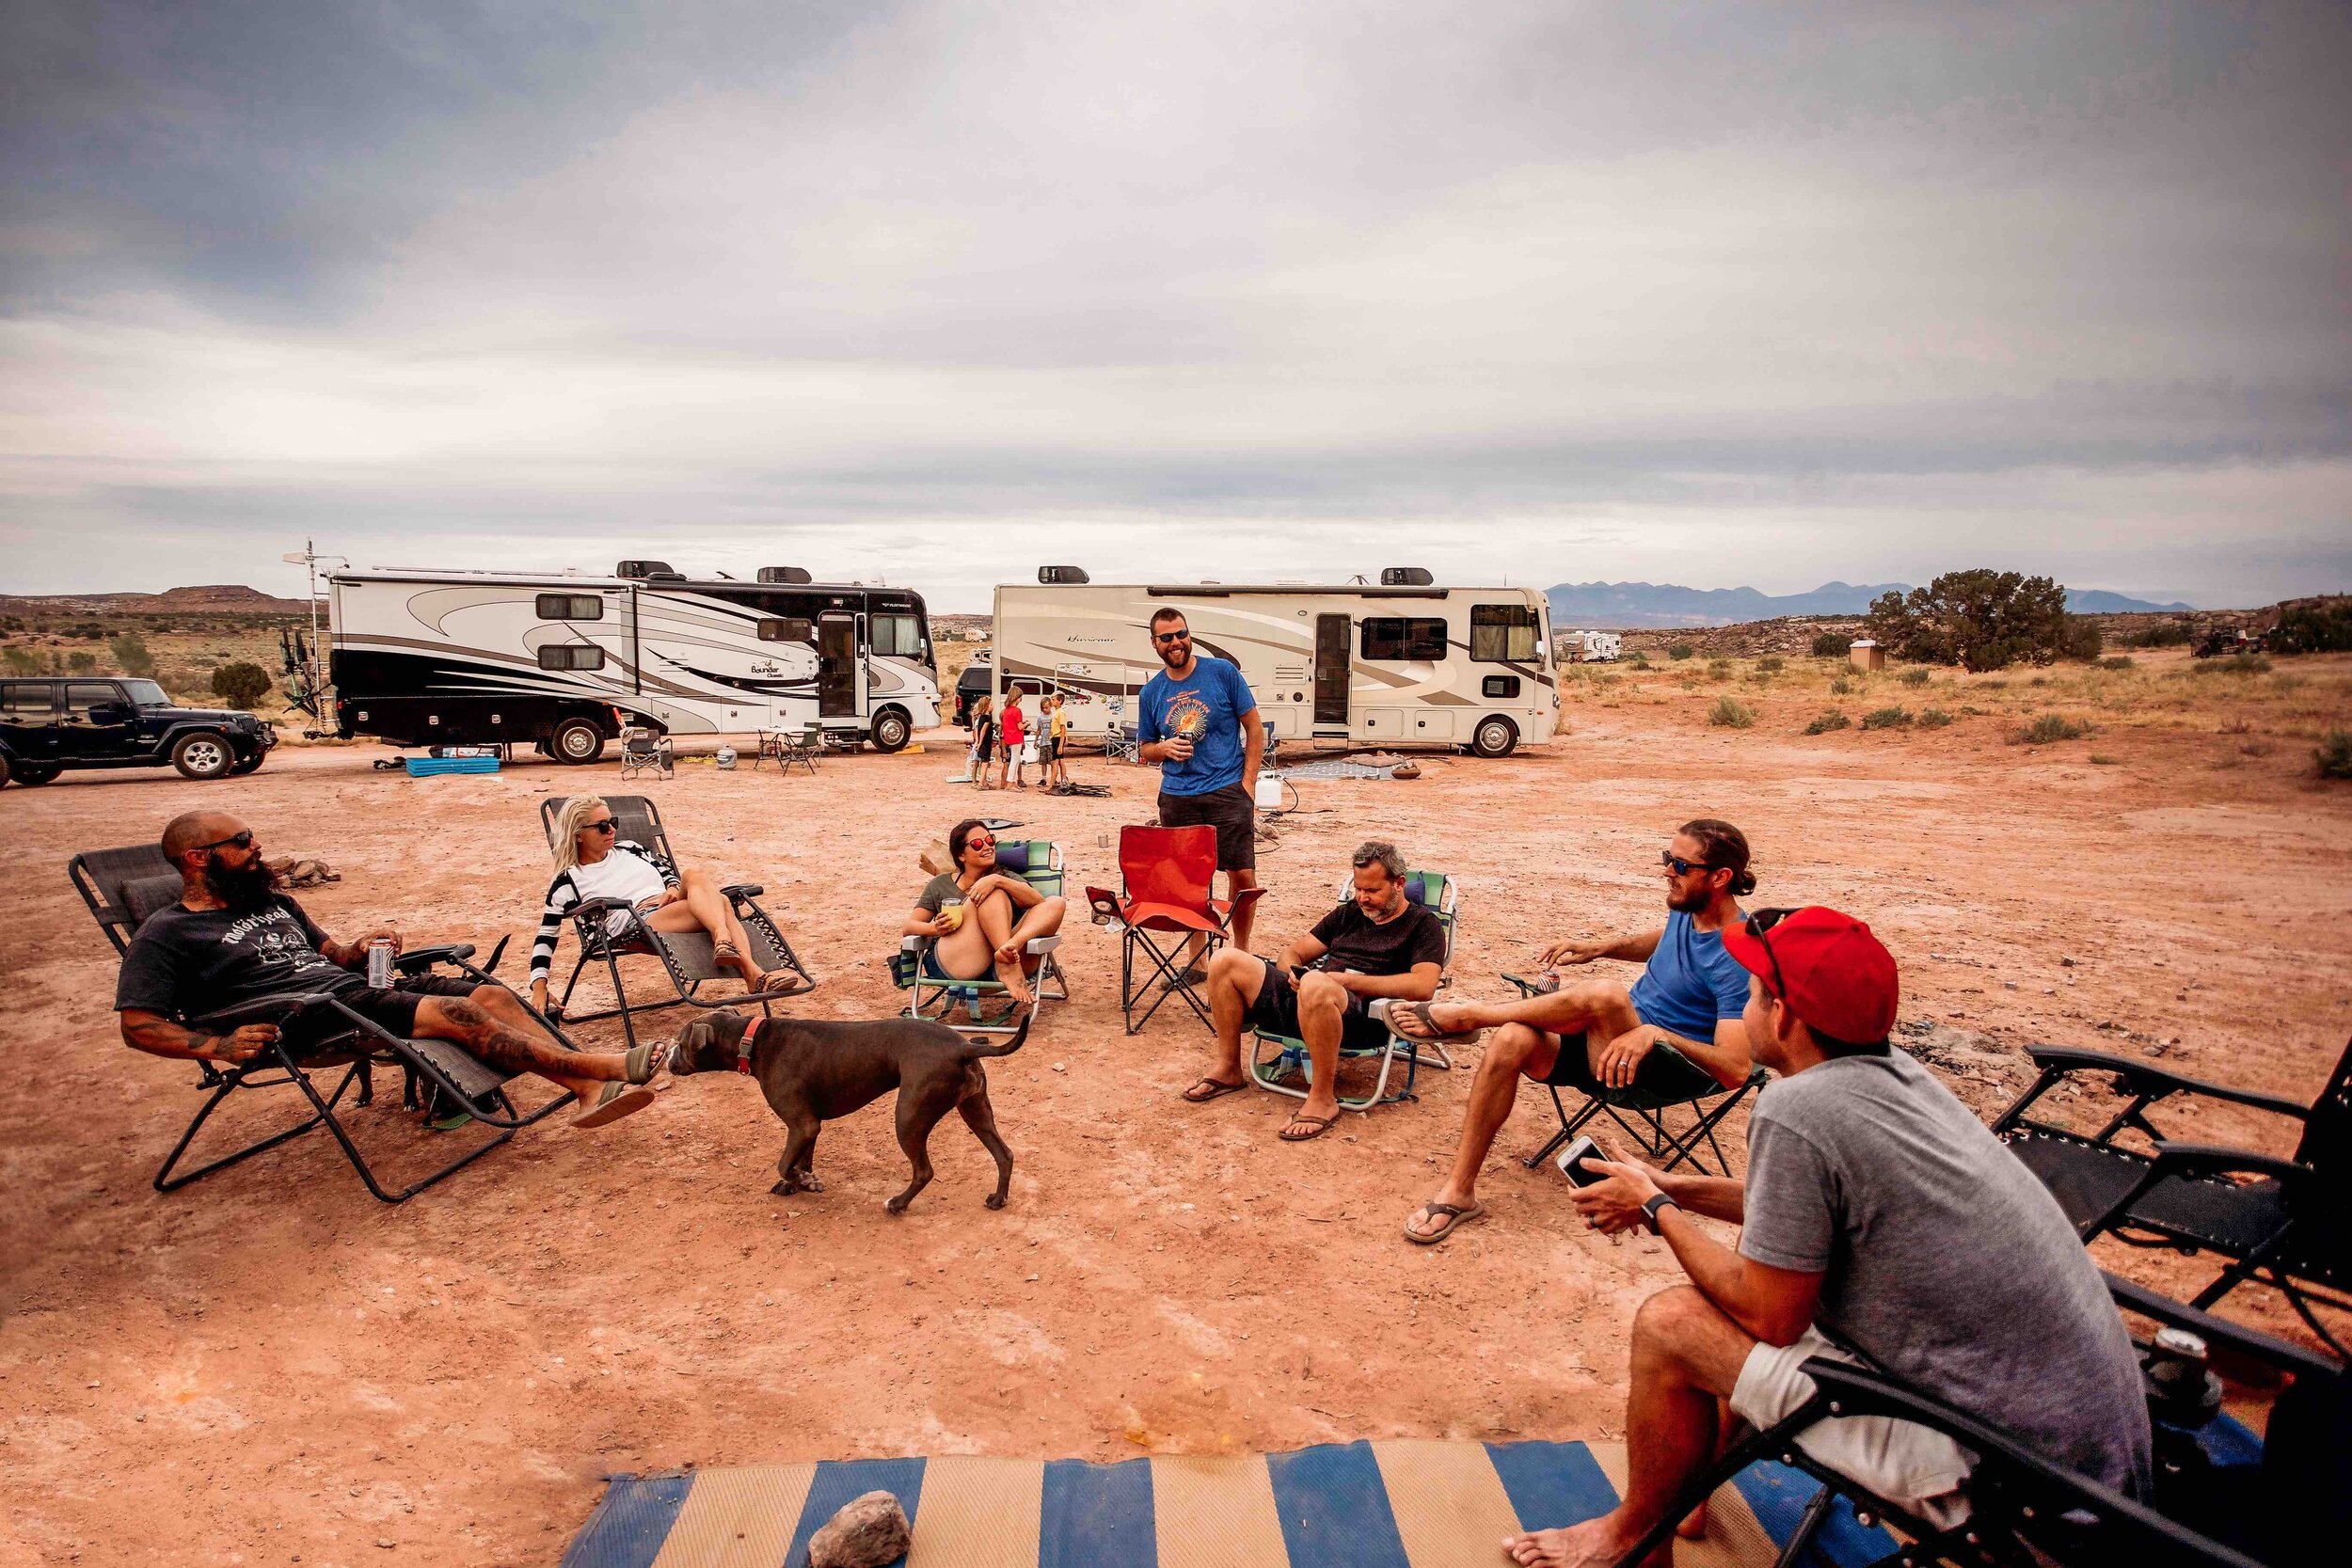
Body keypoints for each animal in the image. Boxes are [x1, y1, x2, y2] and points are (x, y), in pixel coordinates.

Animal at [663, 1006, 1030, 1212]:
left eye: (680, 1044)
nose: (667, 1061)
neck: (753, 1041)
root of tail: (964, 1045)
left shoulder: (803, 1124)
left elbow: (784, 1163)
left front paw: (803, 1182)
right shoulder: (808, 1127)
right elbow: (801, 1159)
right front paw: (798, 1183)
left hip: (909, 1117)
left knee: (924, 1171)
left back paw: (897, 1204)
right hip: (975, 1110)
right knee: (1005, 1154)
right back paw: (998, 1199)